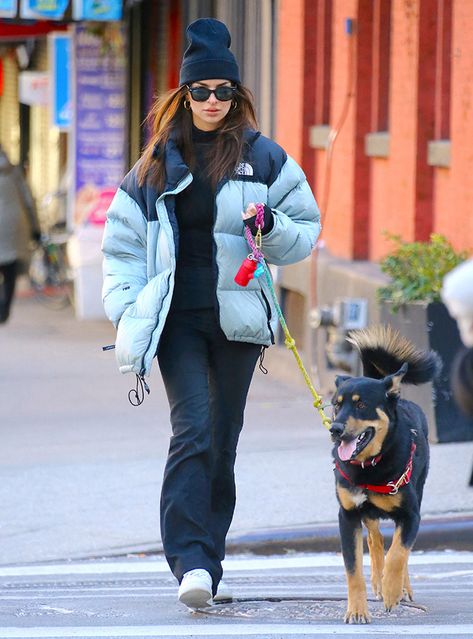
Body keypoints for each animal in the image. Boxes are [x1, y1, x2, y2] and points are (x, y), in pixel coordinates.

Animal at [326, 324, 440, 624]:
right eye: (336, 405)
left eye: (361, 405)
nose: (335, 429)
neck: (370, 466)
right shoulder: (348, 515)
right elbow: (354, 569)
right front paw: (357, 609)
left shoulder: (411, 515)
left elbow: (399, 553)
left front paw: (392, 590)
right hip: (366, 513)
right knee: (375, 539)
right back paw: (378, 581)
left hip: (418, 491)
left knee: (398, 550)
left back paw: (400, 587)